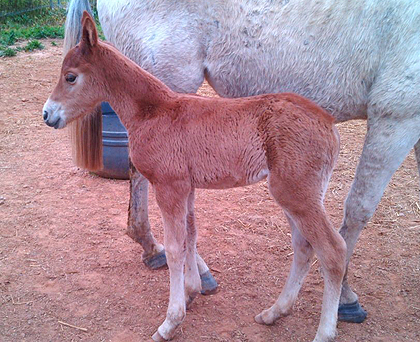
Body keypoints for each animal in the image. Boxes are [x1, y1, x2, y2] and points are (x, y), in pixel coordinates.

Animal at [42, 12, 346, 342]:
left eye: (71, 77)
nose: (47, 115)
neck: (153, 111)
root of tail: (328, 122)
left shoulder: (169, 187)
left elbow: (175, 249)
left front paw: (170, 321)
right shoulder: (186, 188)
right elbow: (191, 235)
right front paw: (191, 291)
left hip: (296, 193)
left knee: (333, 251)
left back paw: (324, 332)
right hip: (294, 195)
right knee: (304, 247)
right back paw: (274, 312)